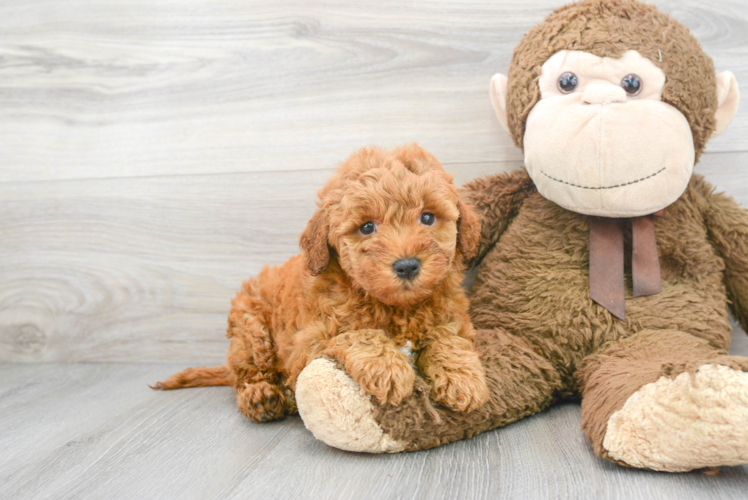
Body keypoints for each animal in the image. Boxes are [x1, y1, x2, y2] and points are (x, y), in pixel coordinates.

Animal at [153, 145, 490, 422]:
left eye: (428, 218)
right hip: (252, 333)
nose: (407, 265)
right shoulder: (308, 343)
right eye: (367, 227)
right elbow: (358, 334)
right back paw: (262, 397)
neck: (397, 307)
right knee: (248, 372)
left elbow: (448, 339)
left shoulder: (453, 319)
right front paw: (388, 368)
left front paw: (463, 377)